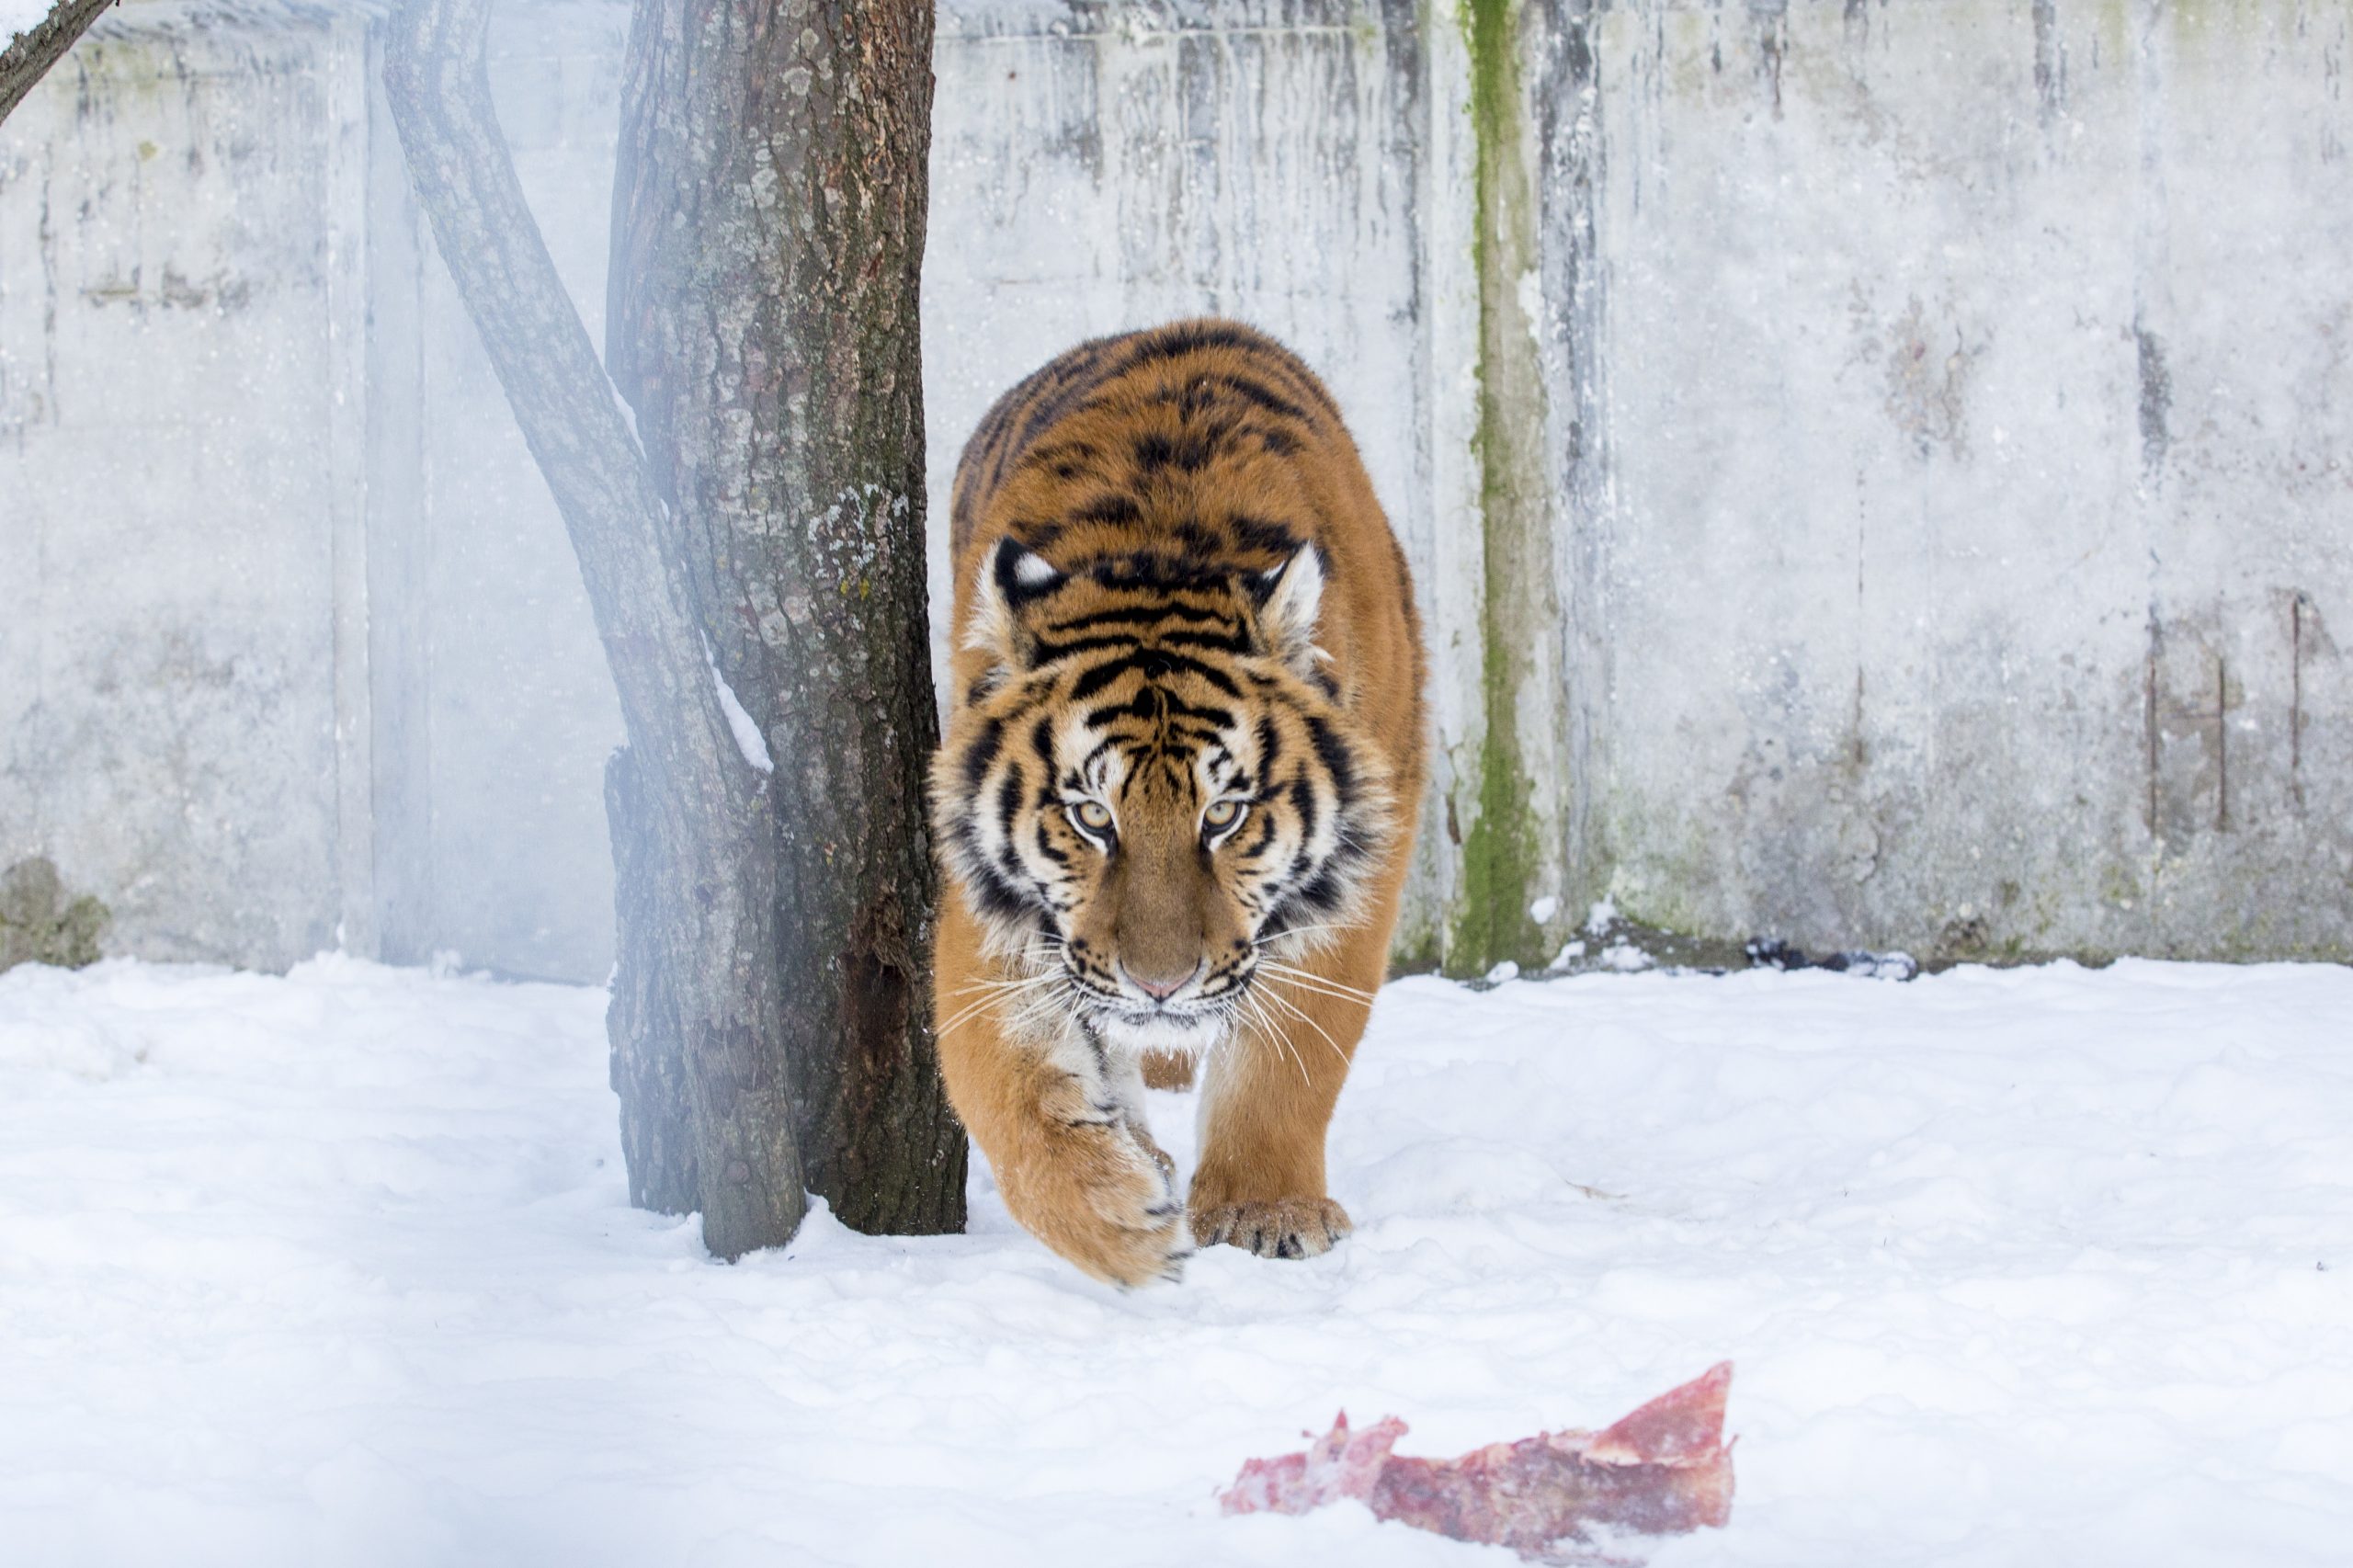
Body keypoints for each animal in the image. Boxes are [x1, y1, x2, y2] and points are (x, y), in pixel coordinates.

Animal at [926, 317, 1421, 1280]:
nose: (1160, 987)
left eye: (1222, 815)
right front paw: (1112, 1215)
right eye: (1092, 816)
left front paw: (1268, 1210)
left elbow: (1293, 1055)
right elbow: (999, 1076)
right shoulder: (996, 896)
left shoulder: (1364, 863)